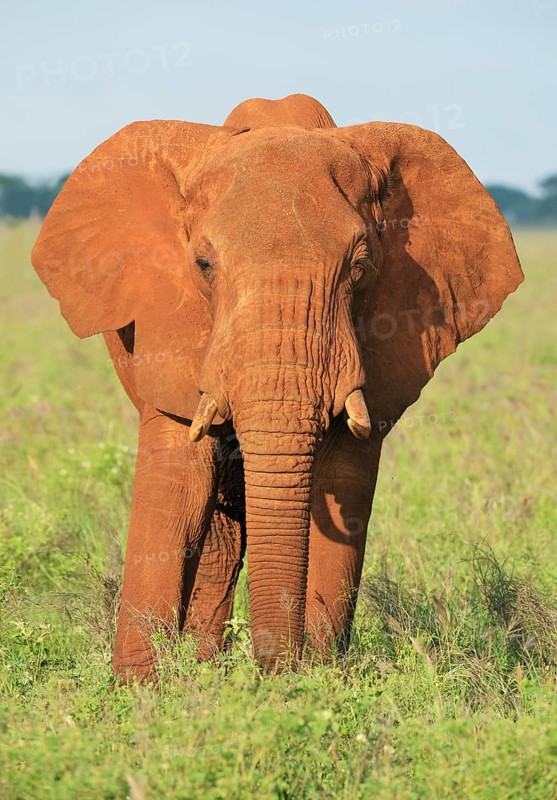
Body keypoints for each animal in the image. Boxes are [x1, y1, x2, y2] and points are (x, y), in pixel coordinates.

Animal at [31, 93, 523, 681]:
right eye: (202, 264)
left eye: (360, 267)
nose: (273, 669)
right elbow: (176, 477)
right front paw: (139, 691)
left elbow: (345, 480)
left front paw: (320, 680)